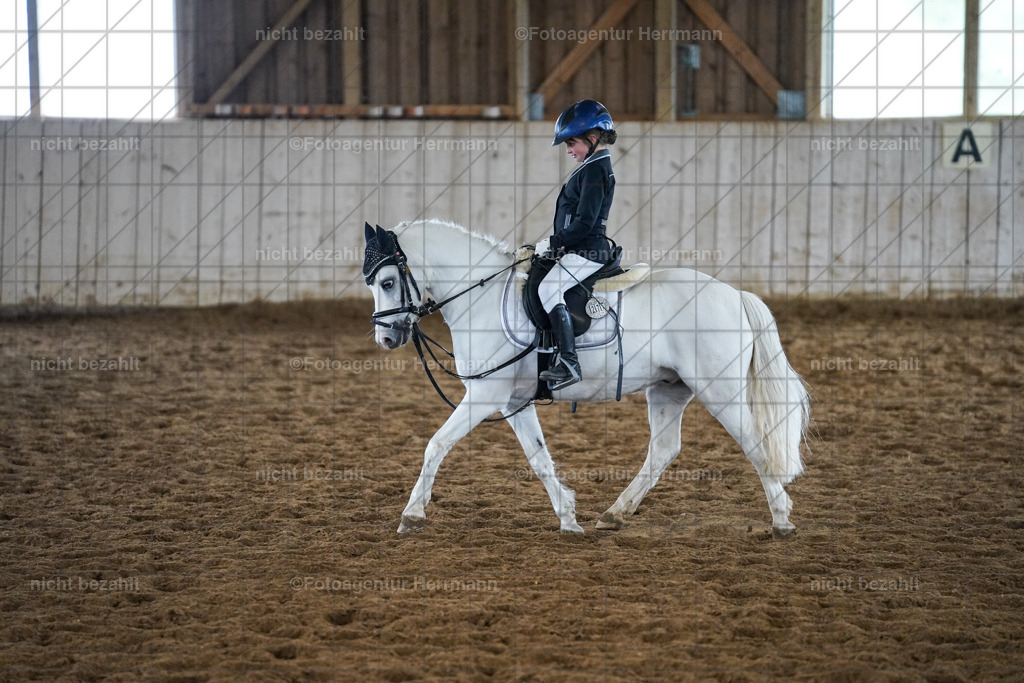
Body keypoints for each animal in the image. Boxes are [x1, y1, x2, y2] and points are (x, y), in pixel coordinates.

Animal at [362, 219, 810, 538]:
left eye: (388, 282)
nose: (386, 338)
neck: (480, 297)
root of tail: (734, 294)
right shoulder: (512, 401)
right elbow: (539, 459)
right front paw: (568, 519)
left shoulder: (485, 395)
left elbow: (436, 445)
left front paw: (411, 516)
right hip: (669, 388)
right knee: (663, 450)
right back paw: (614, 514)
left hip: (720, 390)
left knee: (756, 445)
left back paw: (782, 520)